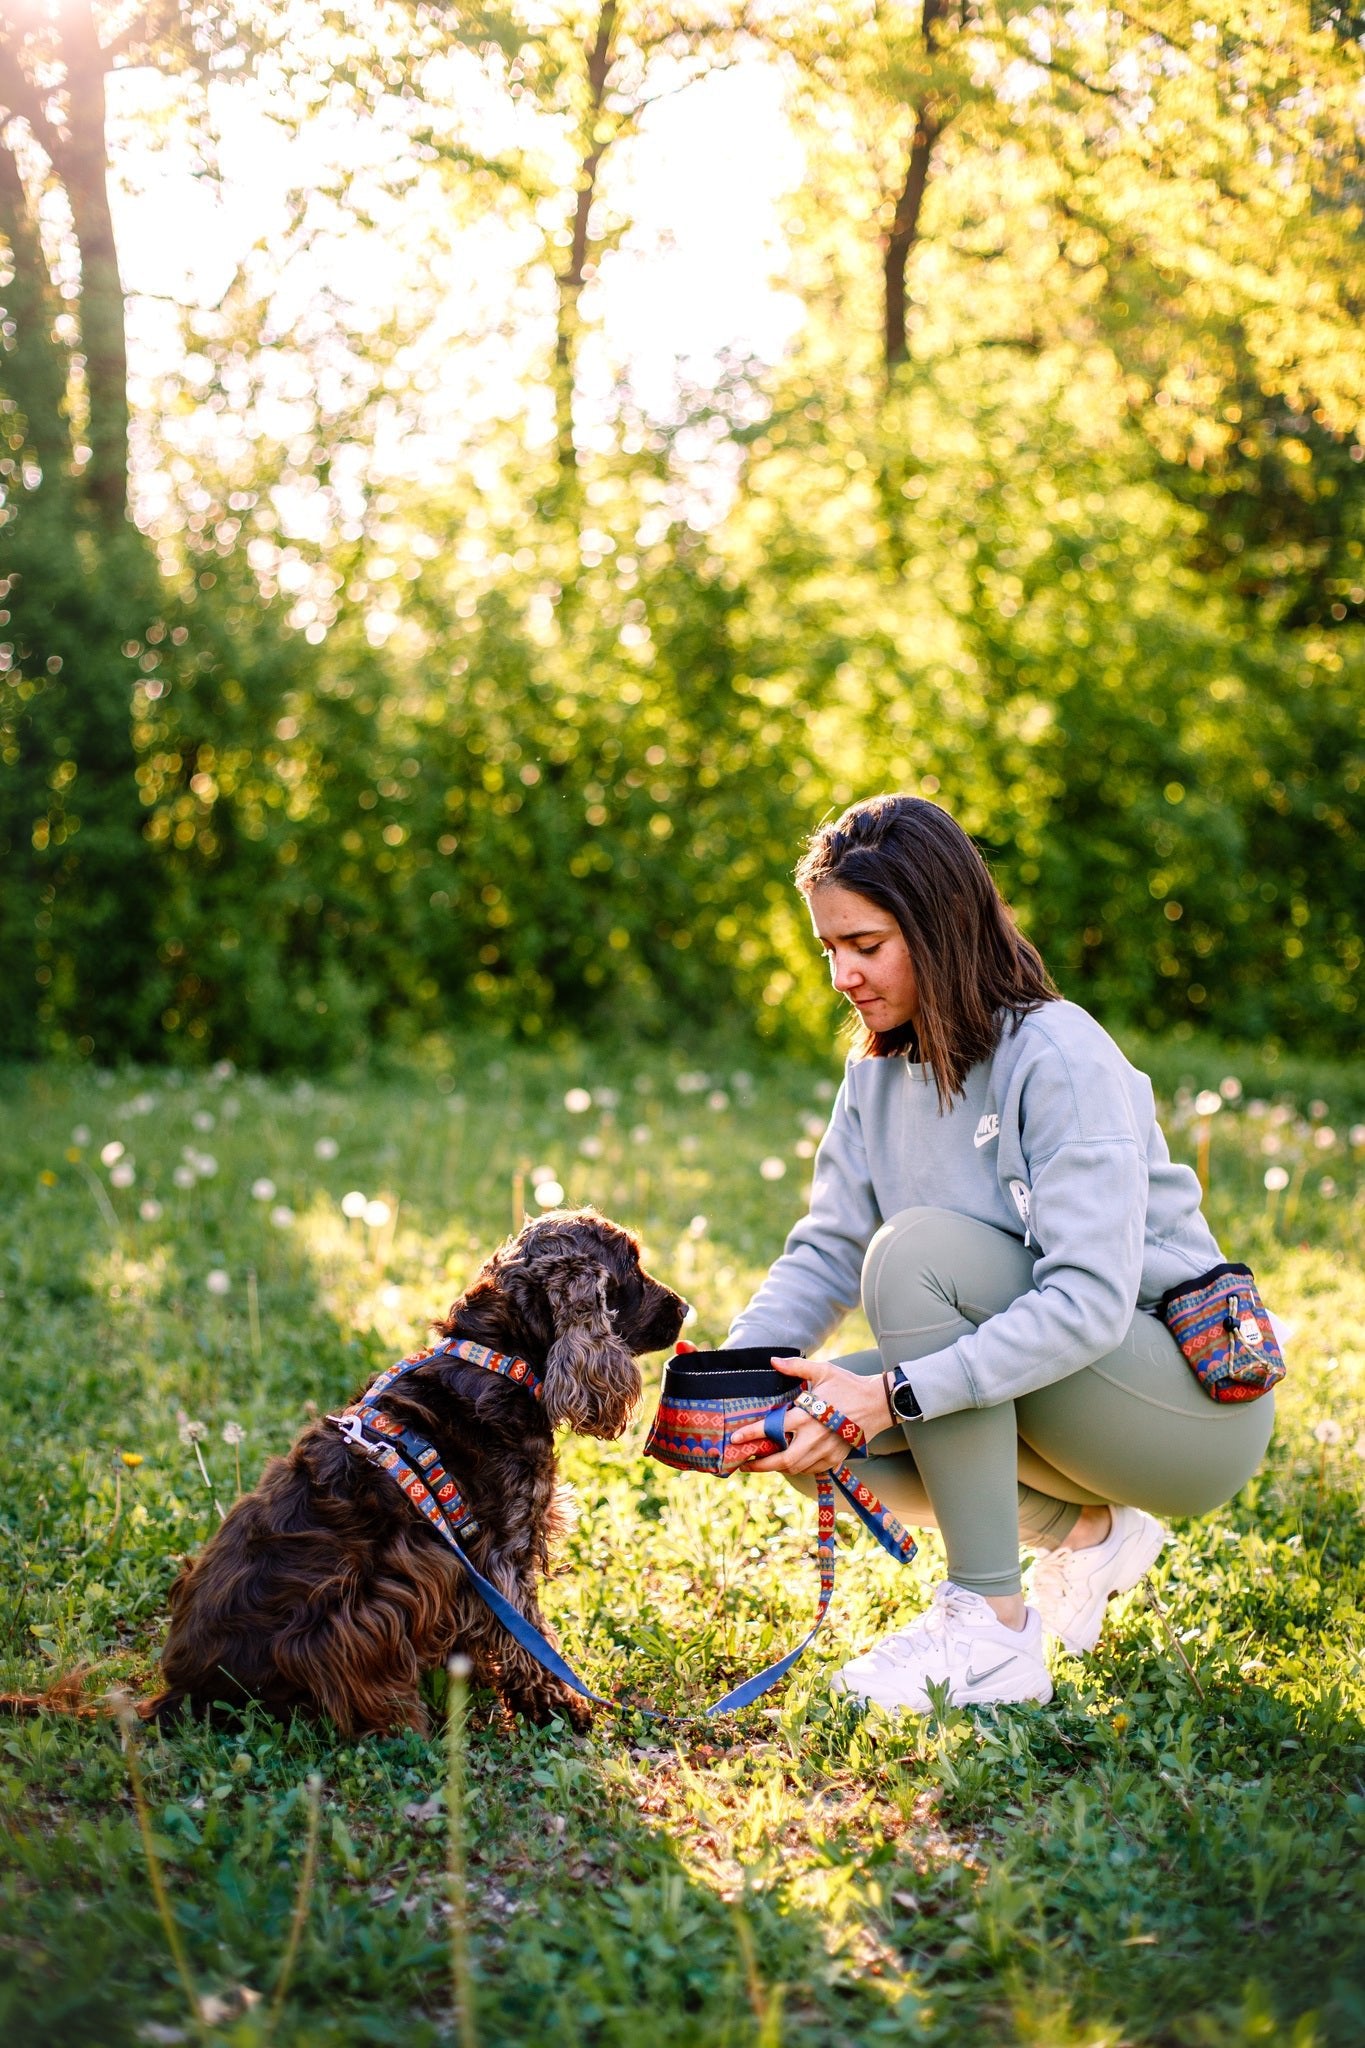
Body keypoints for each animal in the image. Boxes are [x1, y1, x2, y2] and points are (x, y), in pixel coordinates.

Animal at [144, 1204, 687, 1736]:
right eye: (631, 1267)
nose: (684, 1308)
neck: (497, 1357)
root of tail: (186, 1691)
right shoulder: (504, 1551)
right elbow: (529, 1636)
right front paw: (557, 1707)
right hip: (354, 1619)